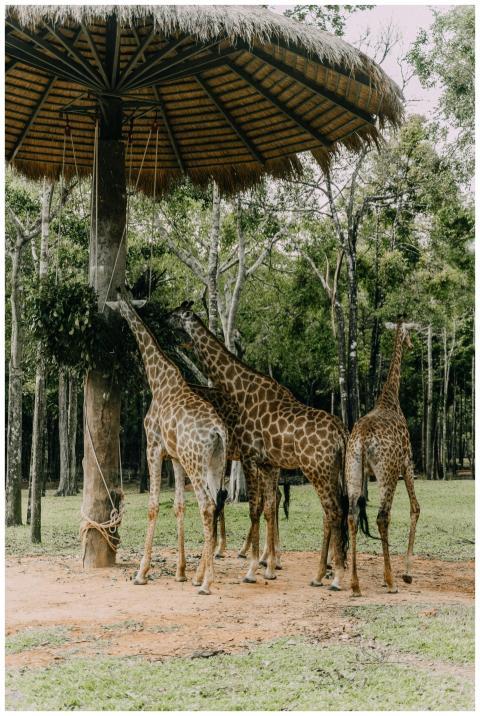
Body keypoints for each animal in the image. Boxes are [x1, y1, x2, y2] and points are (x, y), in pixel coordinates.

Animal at [106, 292, 228, 595]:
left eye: (118, 303)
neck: (157, 379)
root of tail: (219, 430)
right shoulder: (175, 457)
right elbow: (178, 506)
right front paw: (181, 572)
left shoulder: (154, 447)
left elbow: (153, 506)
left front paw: (141, 572)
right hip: (214, 464)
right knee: (216, 503)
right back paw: (201, 575)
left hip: (196, 463)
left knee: (207, 506)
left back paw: (206, 583)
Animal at [169, 302, 349, 589]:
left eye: (176, 315)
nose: (164, 318)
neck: (242, 392)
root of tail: (342, 432)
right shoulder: (265, 462)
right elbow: (264, 507)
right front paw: (268, 564)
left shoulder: (249, 457)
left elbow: (251, 508)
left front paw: (251, 567)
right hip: (330, 471)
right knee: (331, 511)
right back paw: (324, 571)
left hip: (317, 470)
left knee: (332, 512)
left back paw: (332, 575)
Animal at [346, 321, 420, 597]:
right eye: (411, 332)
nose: (412, 344)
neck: (391, 397)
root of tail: (362, 440)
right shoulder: (407, 463)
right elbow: (415, 508)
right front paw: (407, 574)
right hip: (387, 474)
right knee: (382, 517)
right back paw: (390, 582)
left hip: (353, 471)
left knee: (352, 515)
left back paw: (355, 585)